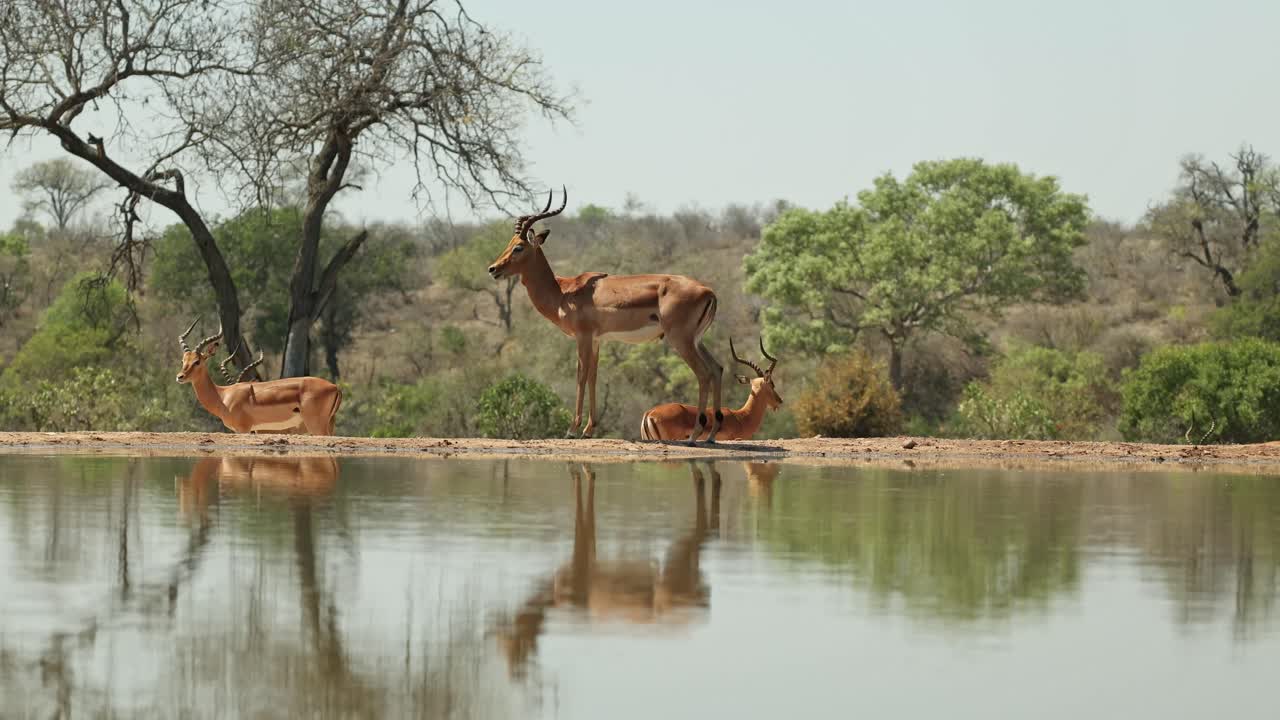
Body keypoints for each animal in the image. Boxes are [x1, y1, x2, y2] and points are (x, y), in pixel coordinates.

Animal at [175, 319, 343, 435]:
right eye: (183, 360)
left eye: (197, 361)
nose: (180, 377)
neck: (223, 396)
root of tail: (335, 387)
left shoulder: (243, 429)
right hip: (328, 425)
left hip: (317, 426)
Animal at [487, 187, 726, 443]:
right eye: (509, 243)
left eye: (518, 247)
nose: (493, 269)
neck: (563, 291)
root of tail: (709, 292)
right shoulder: (597, 340)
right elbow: (593, 376)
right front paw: (589, 430)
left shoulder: (582, 337)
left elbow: (581, 375)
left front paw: (572, 429)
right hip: (696, 340)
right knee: (717, 369)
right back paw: (712, 434)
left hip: (680, 340)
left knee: (703, 374)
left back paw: (696, 435)